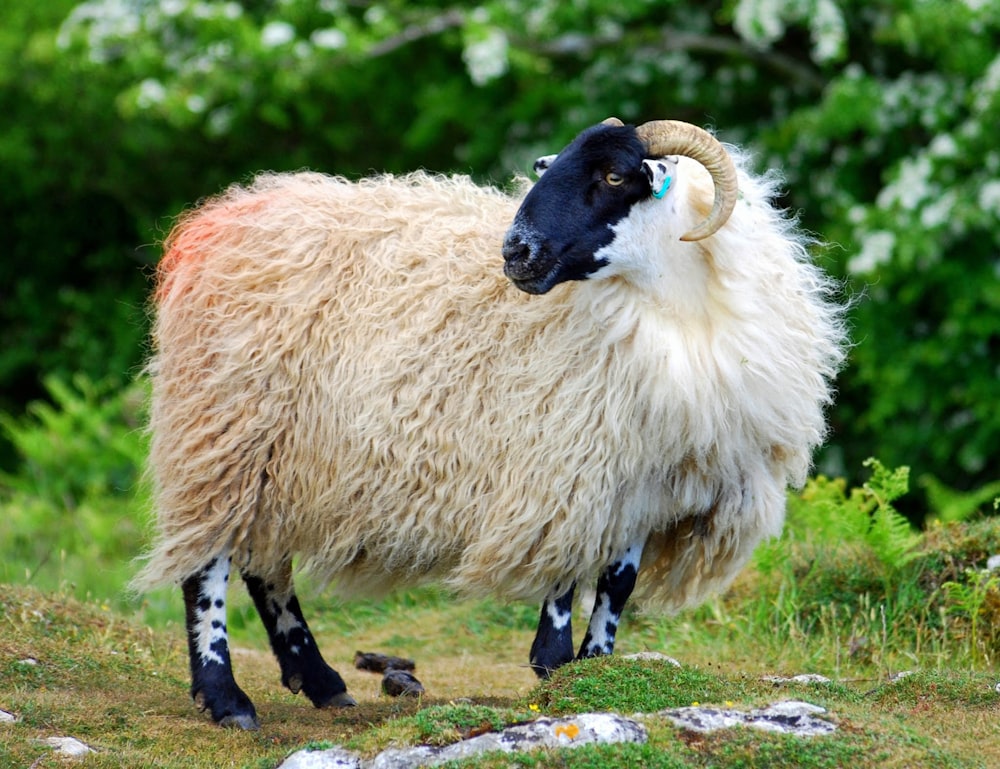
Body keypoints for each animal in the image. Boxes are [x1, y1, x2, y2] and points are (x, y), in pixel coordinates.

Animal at [139, 117, 844, 728]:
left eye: (616, 175)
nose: (516, 252)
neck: (672, 312)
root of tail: (216, 221)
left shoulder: (642, 478)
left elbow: (616, 583)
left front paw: (597, 672)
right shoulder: (564, 454)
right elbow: (564, 574)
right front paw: (555, 669)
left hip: (278, 457)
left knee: (266, 568)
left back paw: (321, 682)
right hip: (224, 426)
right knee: (209, 569)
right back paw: (227, 698)